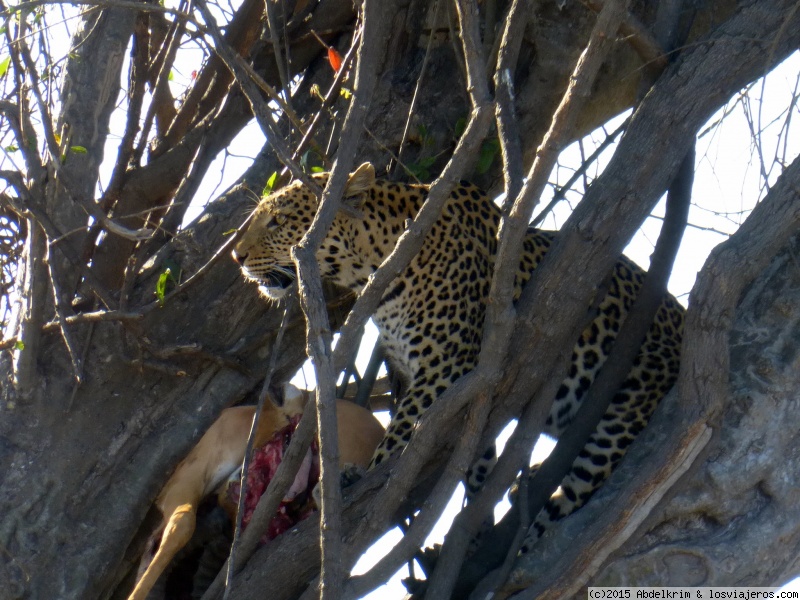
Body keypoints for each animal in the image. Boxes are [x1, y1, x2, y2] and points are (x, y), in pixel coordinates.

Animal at [230, 162, 680, 552]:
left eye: (277, 220)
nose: (236, 257)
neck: (377, 267)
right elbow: (475, 460)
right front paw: (475, 523)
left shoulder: (443, 369)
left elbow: (401, 436)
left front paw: (357, 477)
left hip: (622, 415)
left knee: (568, 503)